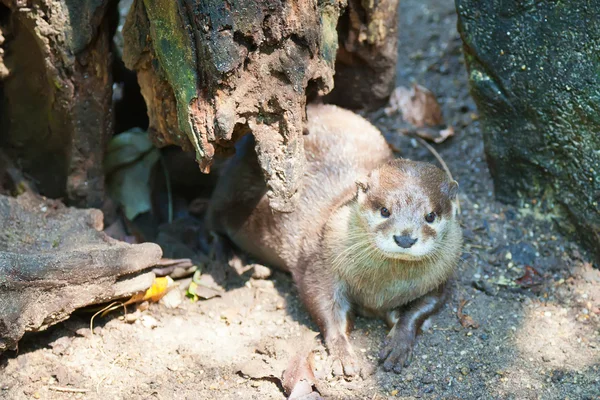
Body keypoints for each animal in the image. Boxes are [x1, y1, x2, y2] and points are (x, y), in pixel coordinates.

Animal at [206, 103, 464, 376]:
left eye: (430, 216)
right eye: (385, 210)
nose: (404, 238)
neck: (382, 288)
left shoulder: (441, 279)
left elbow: (422, 309)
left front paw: (400, 340)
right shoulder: (321, 262)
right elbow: (324, 306)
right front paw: (342, 354)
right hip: (228, 191)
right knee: (210, 220)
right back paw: (225, 257)